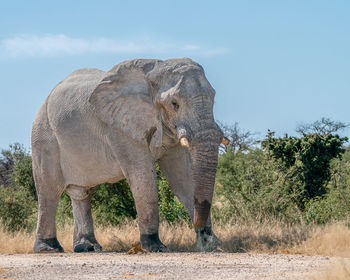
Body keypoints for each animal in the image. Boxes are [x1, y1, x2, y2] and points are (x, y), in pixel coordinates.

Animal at [32, 58, 227, 253]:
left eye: (213, 98)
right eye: (174, 103)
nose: (200, 230)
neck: (155, 70)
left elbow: (182, 176)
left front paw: (211, 243)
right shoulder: (119, 128)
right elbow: (142, 175)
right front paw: (155, 247)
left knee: (83, 194)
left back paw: (89, 247)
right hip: (44, 138)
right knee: (49, 192)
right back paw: (48, 248)